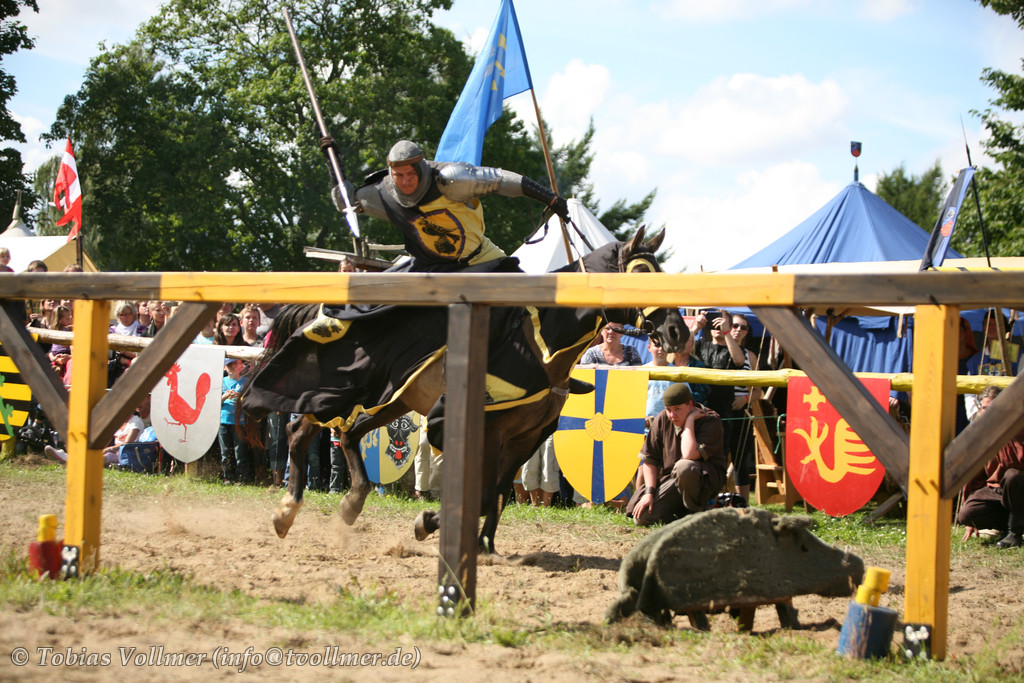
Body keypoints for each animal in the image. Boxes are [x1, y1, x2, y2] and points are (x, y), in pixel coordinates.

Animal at [240, 226, 688, 553]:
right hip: (351, 390)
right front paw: (429, 524)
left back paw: (351, 504)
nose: (677, 332)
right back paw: (287, 510)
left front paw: (483, 544)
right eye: (641, 274)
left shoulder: (526, 438)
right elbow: (485, 493)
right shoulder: (488, 430)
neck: (540, 346)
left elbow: (500, 492)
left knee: (349, 433)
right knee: (302, 429)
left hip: (392, 399)